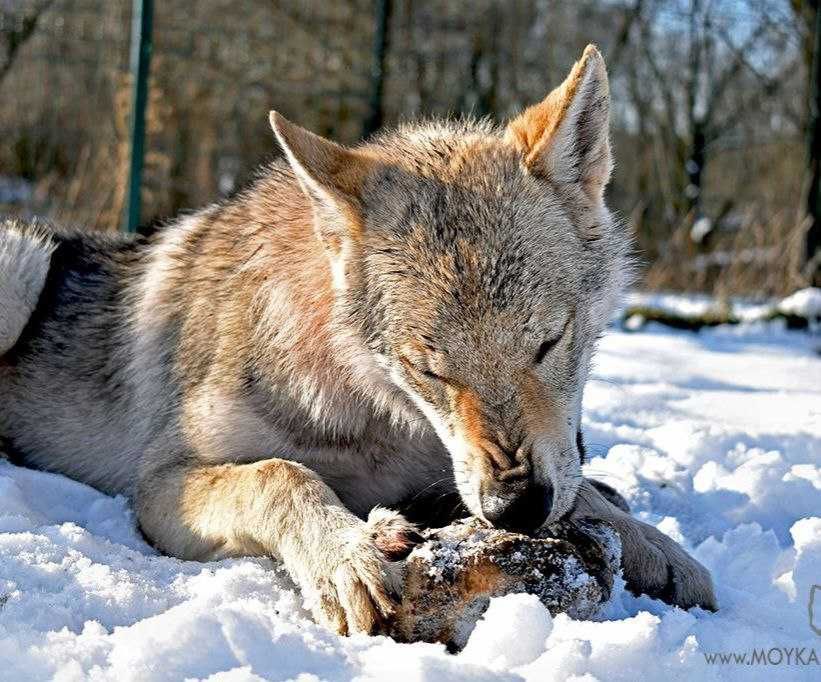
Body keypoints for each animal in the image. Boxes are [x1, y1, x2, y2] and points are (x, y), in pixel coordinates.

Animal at [0, 45, 715, 635]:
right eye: (430, 370)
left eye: (548, 343)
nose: (513, 507)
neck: (370, 412)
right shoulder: (159, 484)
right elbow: (282, 474)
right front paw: (347, 557)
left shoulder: (456, 472)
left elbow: (581, 490)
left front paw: (657, 545)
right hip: (24, 257)